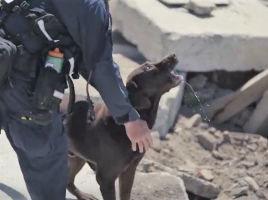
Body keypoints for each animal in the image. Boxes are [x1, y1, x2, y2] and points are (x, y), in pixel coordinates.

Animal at [64, 53, 183, 200]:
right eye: (148, 68)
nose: (173, 55)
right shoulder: (106, 179)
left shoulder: (130, 170)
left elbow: (125, 194)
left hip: (77, 157)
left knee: (69, 182)